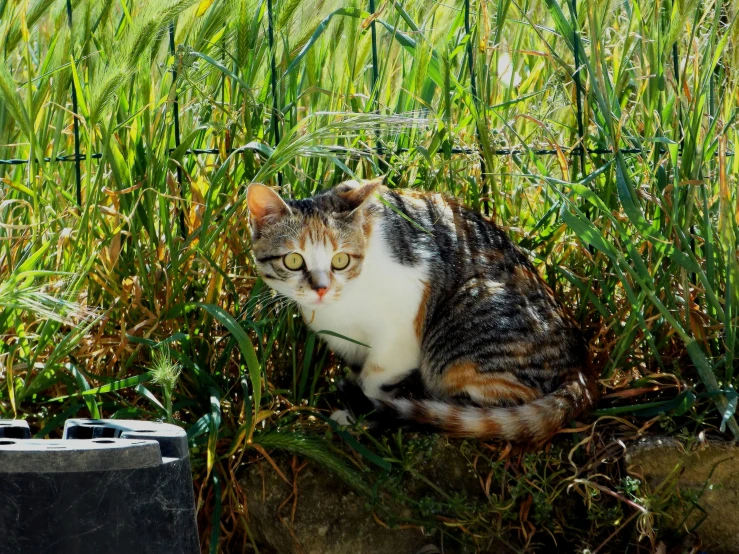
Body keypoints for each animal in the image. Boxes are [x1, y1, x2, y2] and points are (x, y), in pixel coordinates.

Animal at [246, 179, 600, 442]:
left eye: (340, 260)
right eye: (294, 260)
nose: (320, 288)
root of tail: (581, 369)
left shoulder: (402, 328)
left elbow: (374, 376)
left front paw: (363, 412)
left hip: (466, 321)